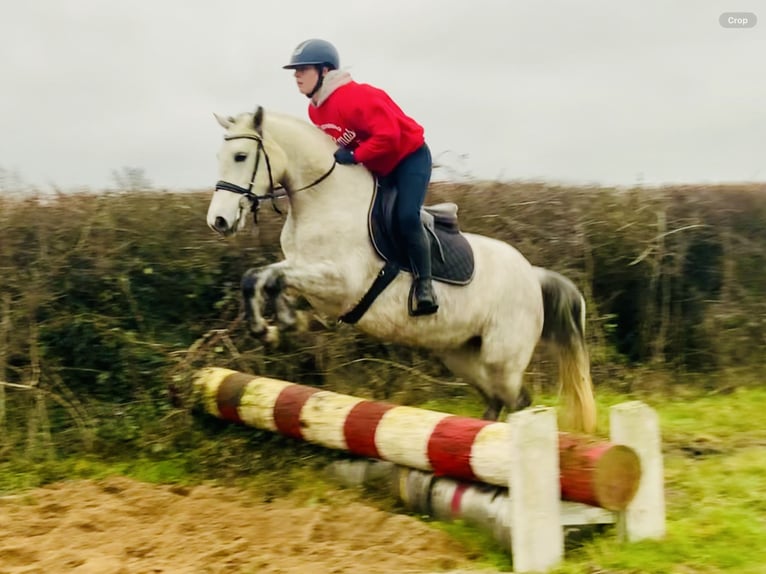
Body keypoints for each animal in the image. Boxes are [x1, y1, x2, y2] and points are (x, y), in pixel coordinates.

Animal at [208, 107, 600, 432]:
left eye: (241, 156)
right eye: (220, 157)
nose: (219, 221)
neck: (326, 200)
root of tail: (533, 275)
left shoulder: (340, 282)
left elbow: (274, 277)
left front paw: (274, 325)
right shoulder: (304, 269)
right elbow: (261, 277)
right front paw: (276, 325)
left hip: (502, 358)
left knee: (519, 402)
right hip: (463, 355)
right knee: (497, 402)